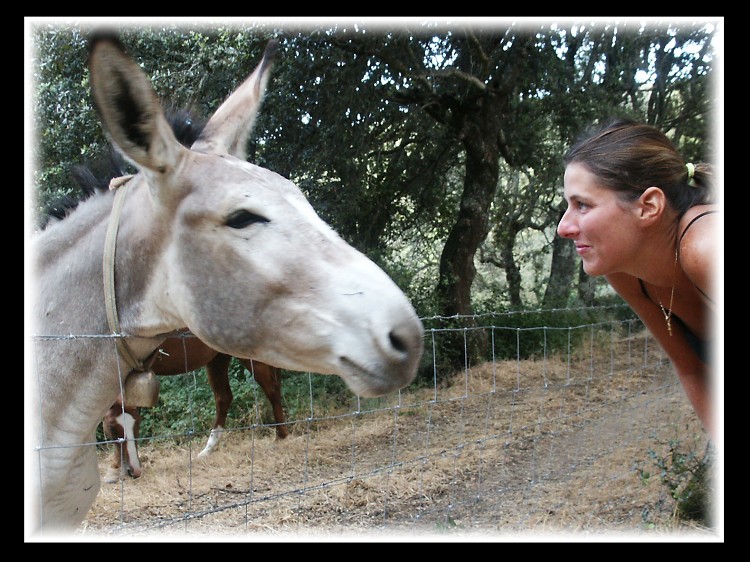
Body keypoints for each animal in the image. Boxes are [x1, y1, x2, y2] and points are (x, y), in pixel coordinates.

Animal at [106, 332, 290, 482]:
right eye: (113, 429)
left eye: (137, 425)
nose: (134, 471)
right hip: (218, 358)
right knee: (224, 398)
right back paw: (209, 449)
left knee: (272, 389)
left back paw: (280, 436)